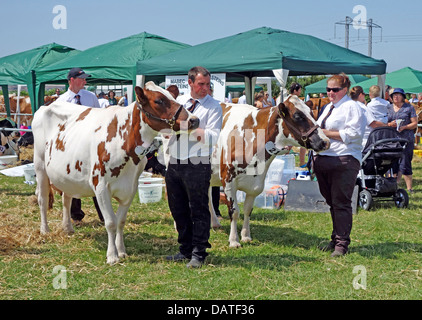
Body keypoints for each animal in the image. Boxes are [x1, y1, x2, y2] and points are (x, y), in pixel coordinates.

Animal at [32, 81, 199, 264]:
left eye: (173, 97)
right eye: (159, 101)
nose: (194, 120)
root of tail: (47, 104)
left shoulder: (131, 187)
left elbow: (121, 221)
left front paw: (122, 251)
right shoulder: (100, 185)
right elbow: (110, 222)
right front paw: (112, 255)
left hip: (65, 173)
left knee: (66, 199)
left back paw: (68, 228)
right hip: (40, 165)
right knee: (42, 199)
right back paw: (45, 230)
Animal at [209, 96, 332, 249]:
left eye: (312, 113)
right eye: (298, 116)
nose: (325, 142)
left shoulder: (256, 184)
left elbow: (247, 210)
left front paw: (246, 236)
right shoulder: (228, 180)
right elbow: (234, 211)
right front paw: (233, 240)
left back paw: (215, 223)